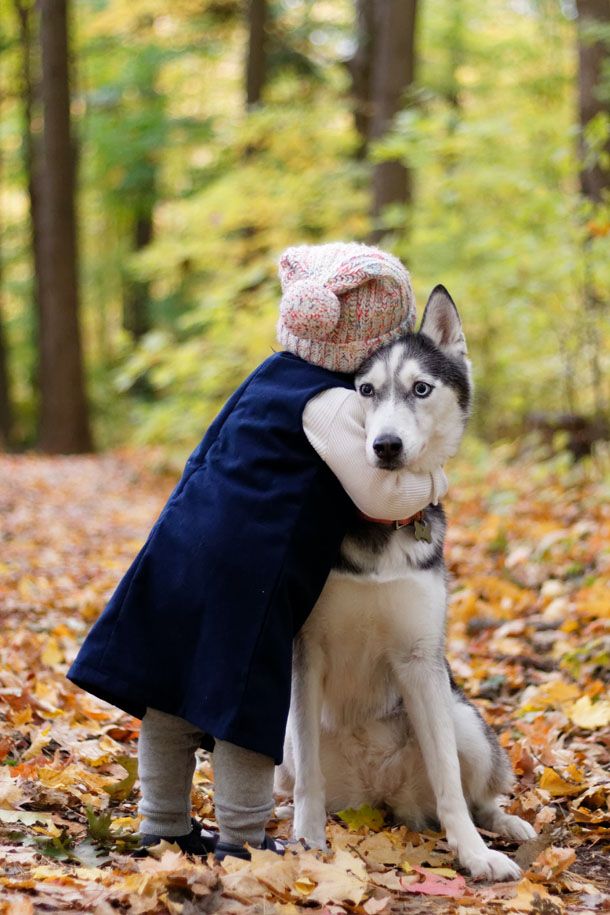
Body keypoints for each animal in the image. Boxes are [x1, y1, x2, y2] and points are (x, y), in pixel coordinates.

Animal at [276, 284, 532, 880]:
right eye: (365, 391)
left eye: (421, 388)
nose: (386, 446)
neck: (380, 520)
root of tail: (379, 797)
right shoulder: (306, 653)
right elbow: (309, 780)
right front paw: (307, 840)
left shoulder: (421, 659)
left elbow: (449, 782)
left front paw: (474, 854)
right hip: (285, 751)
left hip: (464, 720)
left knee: (477, 794)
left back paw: (504, 827)